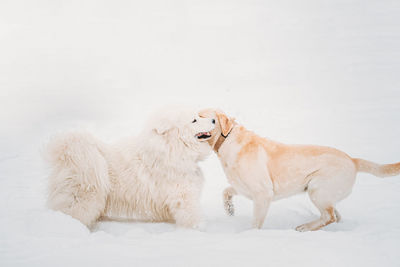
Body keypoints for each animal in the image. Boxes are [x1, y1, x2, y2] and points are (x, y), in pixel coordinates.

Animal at [44, 108, 216, 229]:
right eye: (194, 120)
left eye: (198, 115)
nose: (214, 119)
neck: (172, 148)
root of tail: (67, 153)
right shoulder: (184, 196)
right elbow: (192, 215)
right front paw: (199, 229)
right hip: (84, 198)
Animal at [200, 109, 400, 232]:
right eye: (196, 116)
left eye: (209, 118)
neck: (227, 140)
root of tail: (353, 160)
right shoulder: (242, 188)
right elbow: (226, 191)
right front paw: (230, 210)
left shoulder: (262, 193)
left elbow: (256, 222)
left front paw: (250, 234)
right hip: (325, 194)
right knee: (335, 215)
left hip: (317, 189)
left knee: (329, 216)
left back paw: (304, 227)